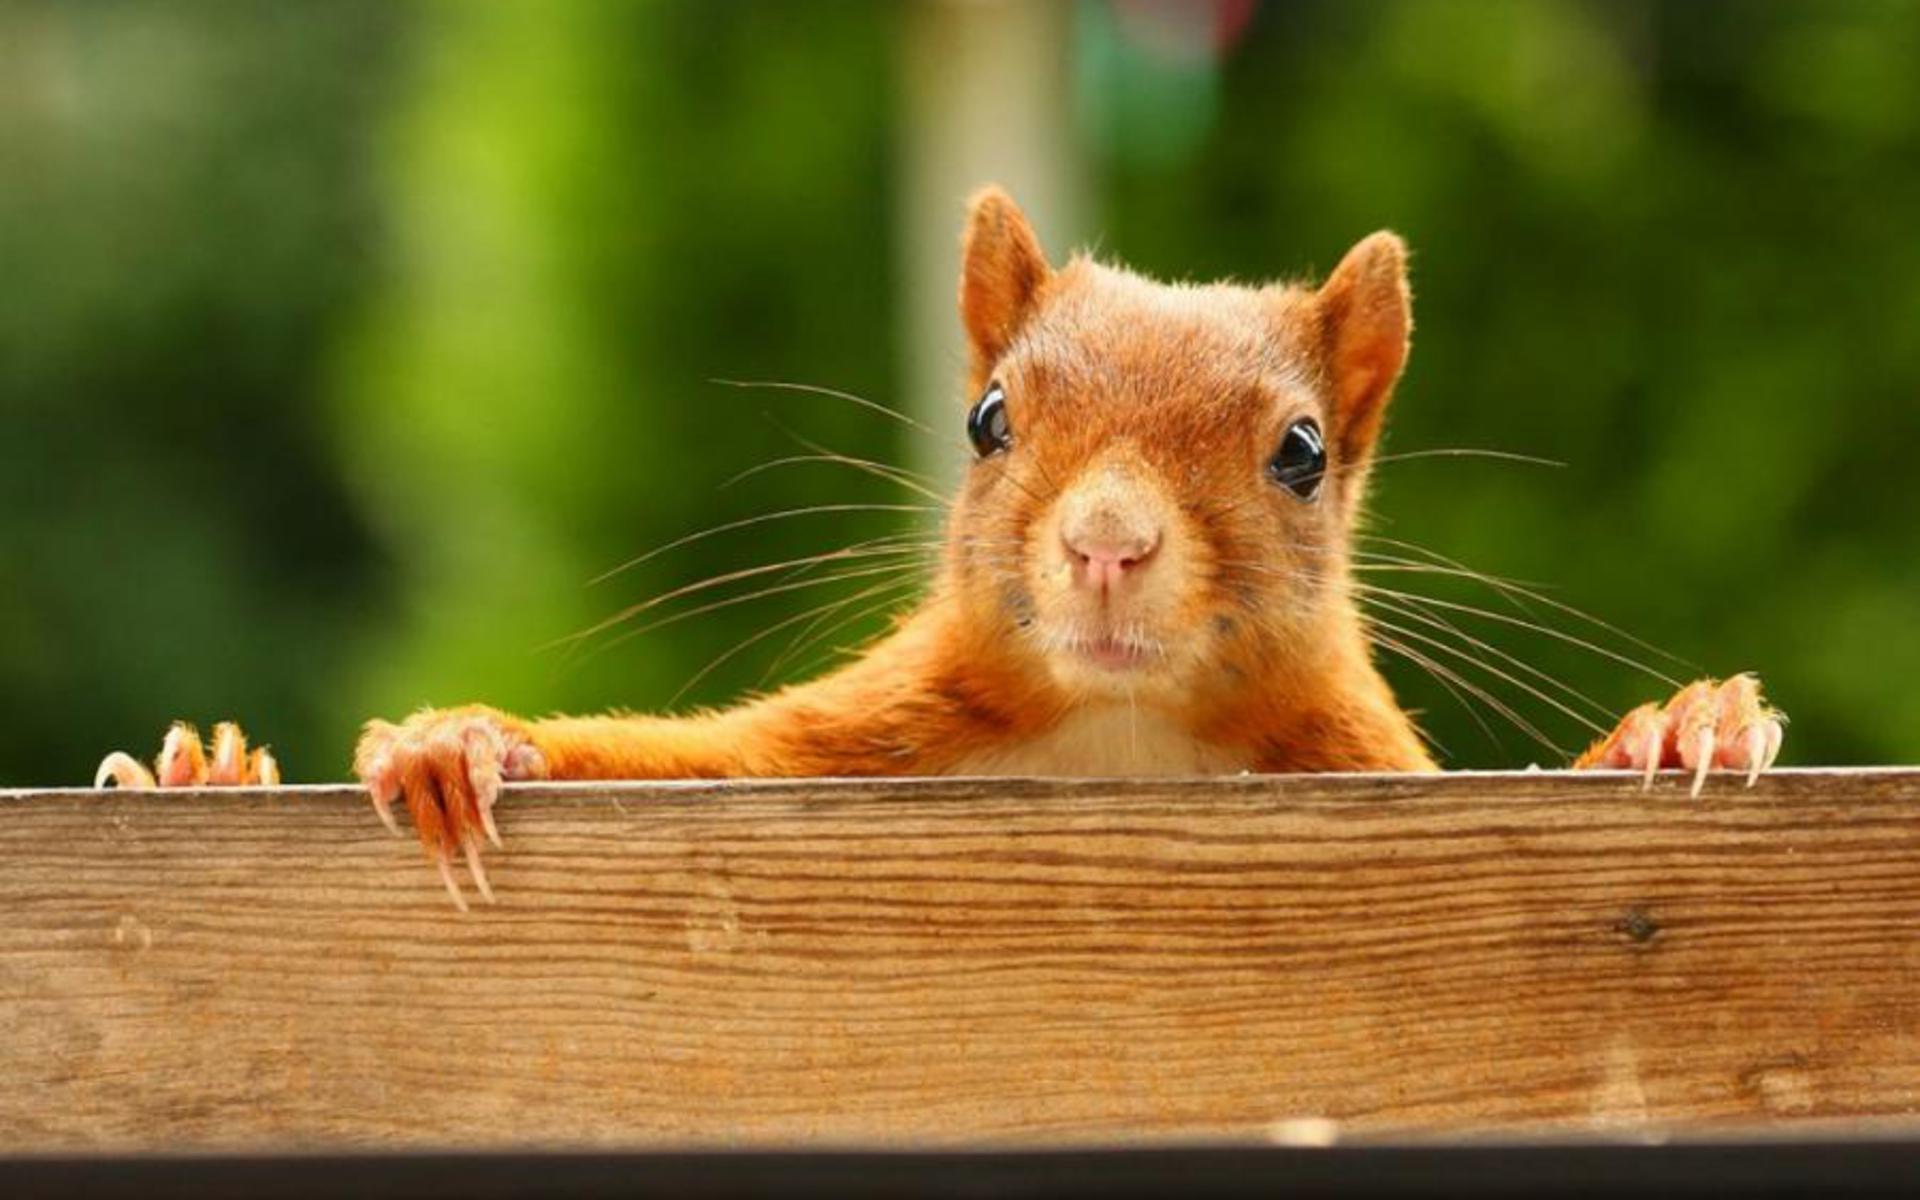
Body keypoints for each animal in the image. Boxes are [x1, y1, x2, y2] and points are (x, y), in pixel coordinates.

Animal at [94, 186, 1784, 908]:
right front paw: (456, 744)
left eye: (1303, 453)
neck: (1117, 737)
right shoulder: (848, 745)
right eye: (986, 416)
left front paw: (1676, 729)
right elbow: (661, 755)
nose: (1107, 542)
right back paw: (206, 773)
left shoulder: (1360, 764)